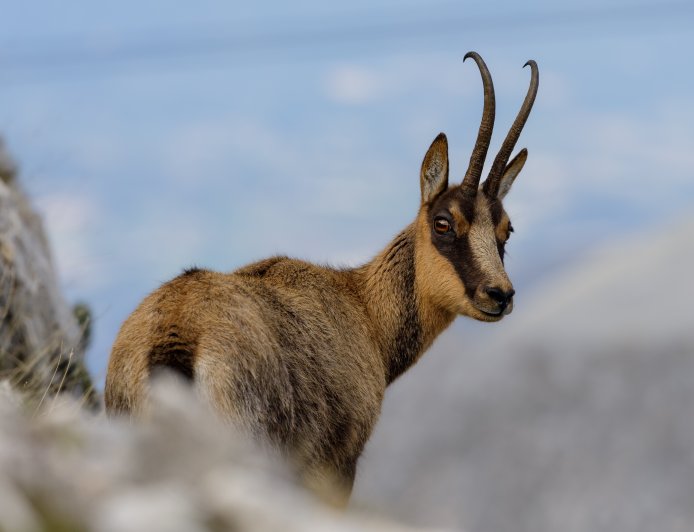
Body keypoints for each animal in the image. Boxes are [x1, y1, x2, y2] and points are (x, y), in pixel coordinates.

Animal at [105, 52, 539, 504]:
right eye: (443, 222)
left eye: (507, 229)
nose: (499, 294)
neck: (364, 311)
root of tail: (178, 332)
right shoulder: (337, 466)